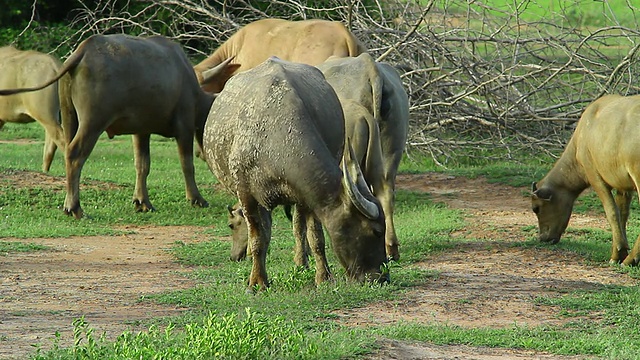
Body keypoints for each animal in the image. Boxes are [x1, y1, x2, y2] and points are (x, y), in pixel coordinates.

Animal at [0, 34, 238, 219]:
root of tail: (83, 50)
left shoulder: (141, 131)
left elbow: (142, 165)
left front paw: (142, 201)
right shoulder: (184, 127)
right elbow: (187, 164)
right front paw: (196, 198)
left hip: (69, 117)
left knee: (66, 148)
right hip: (93, 121)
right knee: (75, 154)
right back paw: (75, 208)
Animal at [204, 57, 384, 292]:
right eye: (376, 231)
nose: (381, 277)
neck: (274, 138)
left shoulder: (307, 195)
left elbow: (315, 236)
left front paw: (323, 277)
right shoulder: (247, 196)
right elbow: (258, 238)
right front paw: (257, 282)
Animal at [532, 94, 640, 266]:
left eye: (536, 208)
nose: (542, 238)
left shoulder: (594, 175)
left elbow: (612, 212)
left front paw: (617, 255)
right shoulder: (623, 185)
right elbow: (623, 213)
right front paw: (622, 251)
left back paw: (631, 259)